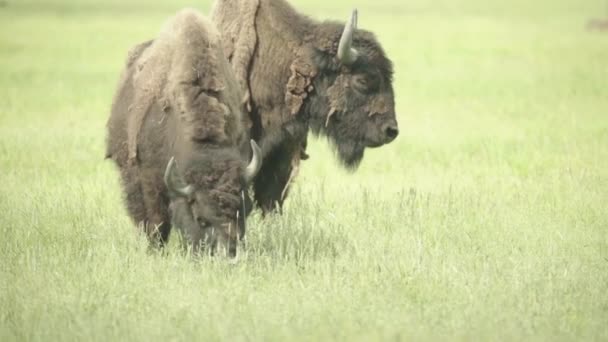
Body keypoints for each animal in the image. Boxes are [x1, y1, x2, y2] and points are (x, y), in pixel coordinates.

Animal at [106, 8, 258, 256]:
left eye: (244, 210)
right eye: (200, 218)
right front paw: (156, 251)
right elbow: (158, 220)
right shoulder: (151, 178)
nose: (227, 253)